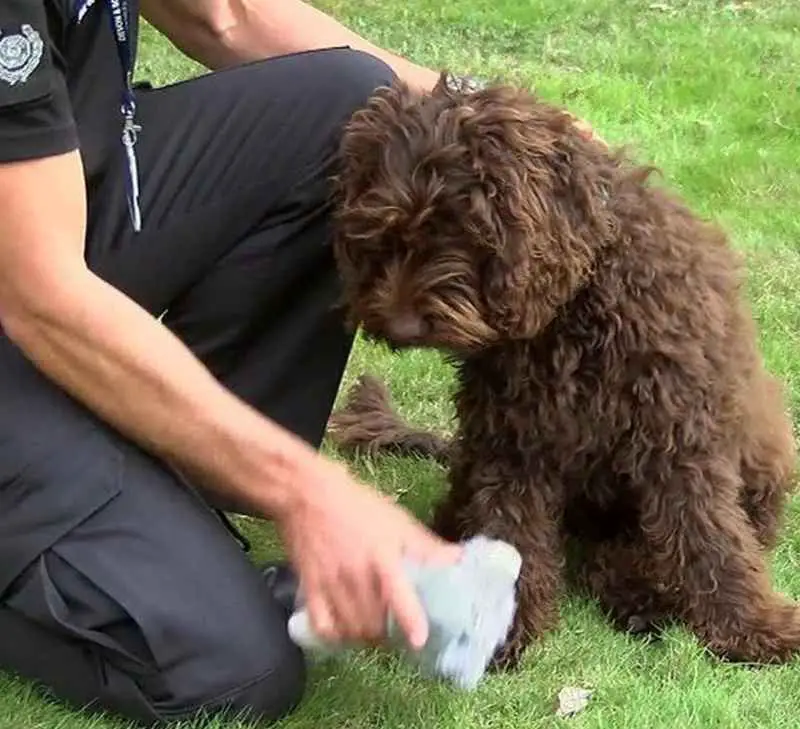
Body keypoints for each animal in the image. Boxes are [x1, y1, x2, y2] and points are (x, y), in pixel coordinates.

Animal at [326, 72, 800, 664]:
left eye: (457, 229)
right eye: (382, 234)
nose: (399, 325)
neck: (575, 308)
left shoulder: (679, 433)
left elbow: (709, 534)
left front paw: (754, 627)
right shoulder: (513, 442)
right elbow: (512, 530)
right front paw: (500, 625)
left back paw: (640, 590)